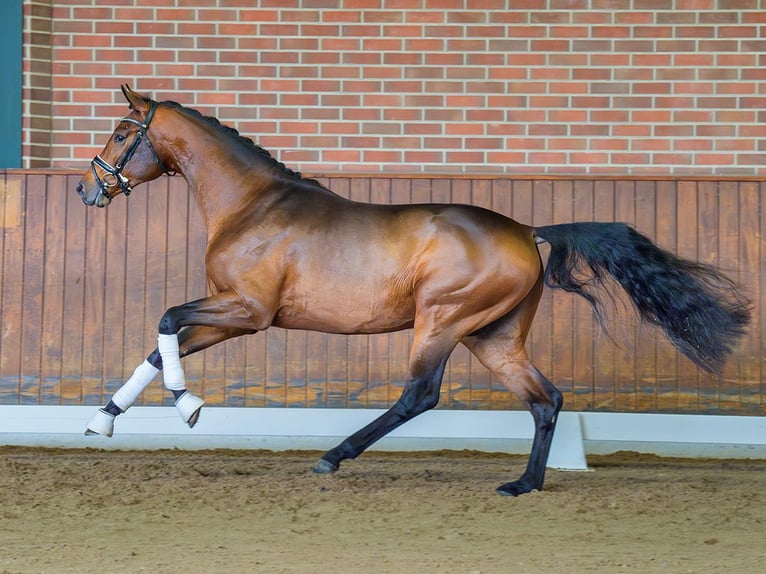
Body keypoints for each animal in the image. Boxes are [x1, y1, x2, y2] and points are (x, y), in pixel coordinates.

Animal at [76, 86, 752, 500]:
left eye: (121, 134)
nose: (88, 190)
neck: (253, 206)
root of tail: (527, 230)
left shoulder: (250, 311)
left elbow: (166, 320)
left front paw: (188, 406)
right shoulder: (229, 314)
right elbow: (160, 342)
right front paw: (103, 419)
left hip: (443, 320)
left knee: (420, 394)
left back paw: (335, 455)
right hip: (493, 337)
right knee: (545, 399)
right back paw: (523, 485)